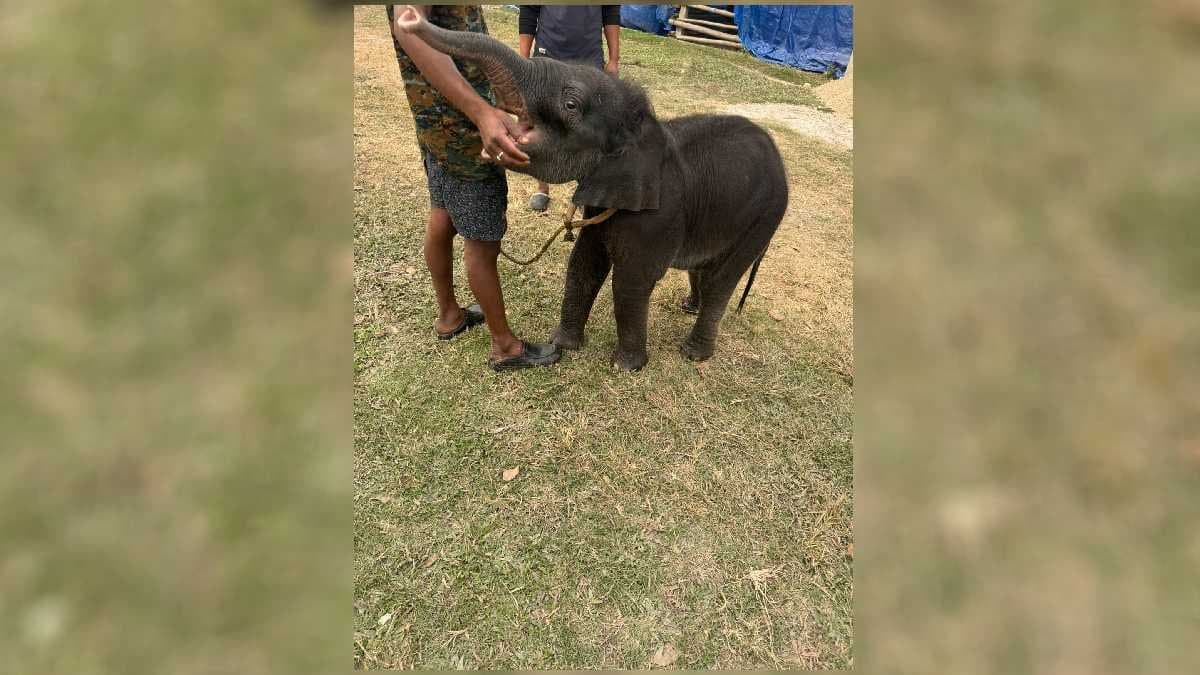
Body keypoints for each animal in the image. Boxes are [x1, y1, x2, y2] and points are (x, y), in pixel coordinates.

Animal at [394, 6, 789, 371]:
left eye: (570, 105)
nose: (409, 16)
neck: (642, 130)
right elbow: (583, 263)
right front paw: (562, 346)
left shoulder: (658, 216)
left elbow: (630, 280)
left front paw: (625, 367)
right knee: (704, 268)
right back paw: (688, 308)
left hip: (765, 215)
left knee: (722, 279)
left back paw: (693, 353)